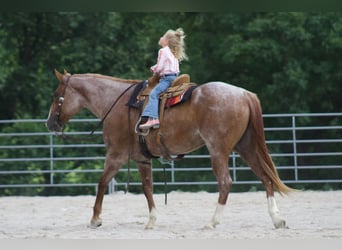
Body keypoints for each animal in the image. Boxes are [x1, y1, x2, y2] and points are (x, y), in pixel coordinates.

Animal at [46, 69, 294, 229]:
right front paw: (151, 220)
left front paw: (95, 219)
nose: (49, 123)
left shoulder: (116, 155)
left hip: (218, 150)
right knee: (265, 177)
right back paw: (277, 219)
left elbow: (102, 182)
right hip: (246, 147)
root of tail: (243, 94)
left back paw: (212, 222)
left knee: (225, 182)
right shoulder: (141, 158)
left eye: (56, 96)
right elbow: (147, 187)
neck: (116, 103)